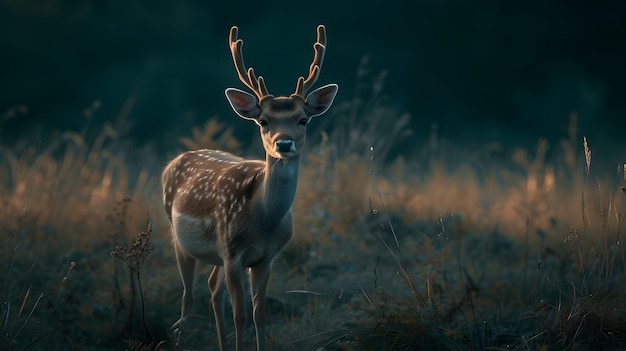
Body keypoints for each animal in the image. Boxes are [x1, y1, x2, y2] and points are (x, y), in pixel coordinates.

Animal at [161, 25, 336, 351]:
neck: (262, 220)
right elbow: (240, 315)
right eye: (263, 121)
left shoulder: (266, 258)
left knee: (212, 289)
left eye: (303, 119)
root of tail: (176, 159)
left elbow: (260, 314)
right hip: (180, 238)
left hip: (216, 253)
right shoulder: (233, 254)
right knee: (187, 298)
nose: (284, 143)